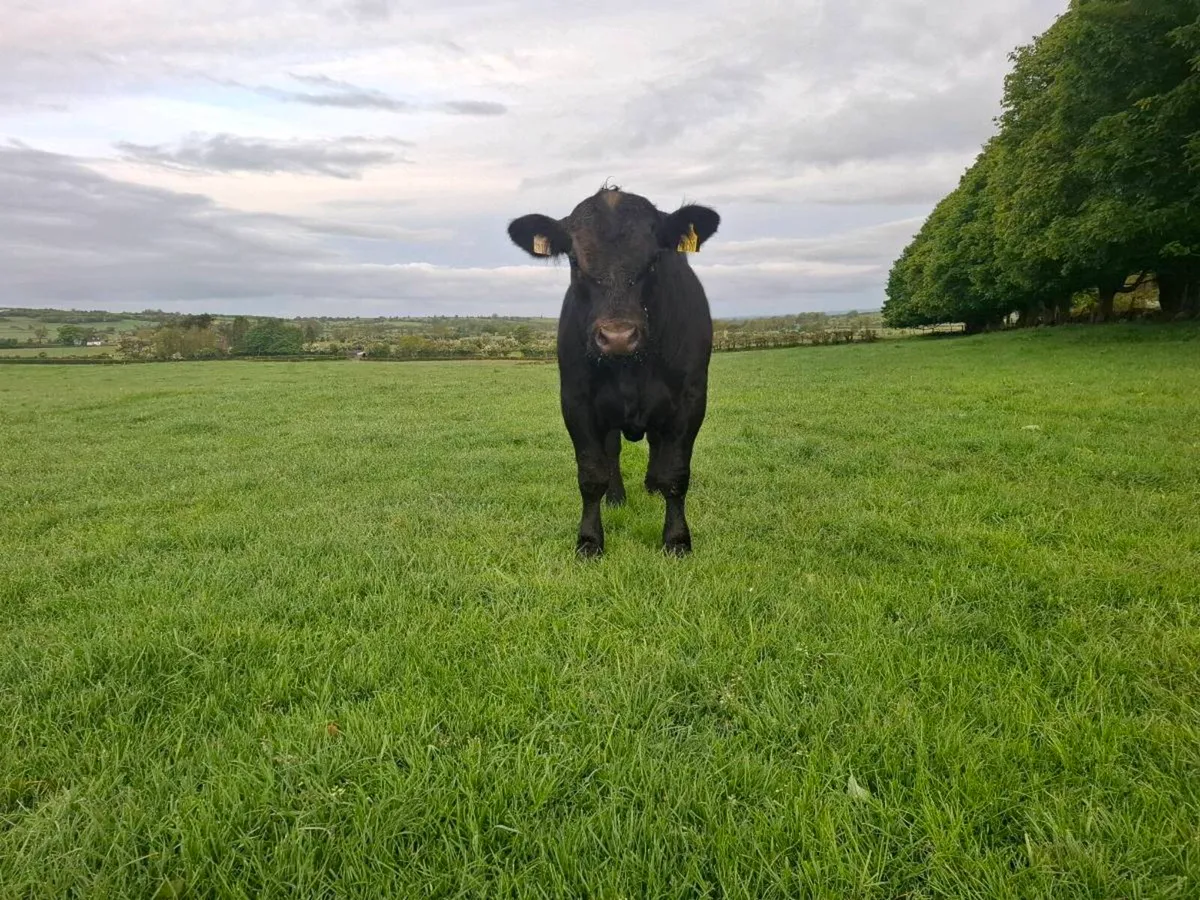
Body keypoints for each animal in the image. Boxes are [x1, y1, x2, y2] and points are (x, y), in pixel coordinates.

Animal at [506, 185, 720, 557]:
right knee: (613, 452)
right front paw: (590, 540)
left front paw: (677, 539)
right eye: (574, 260)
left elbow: (675, 473)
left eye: (654, 259)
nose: (618, 336)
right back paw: (617, 497)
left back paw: (651, 487)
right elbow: (592, 474)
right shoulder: (576, 400)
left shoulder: (691, 399)